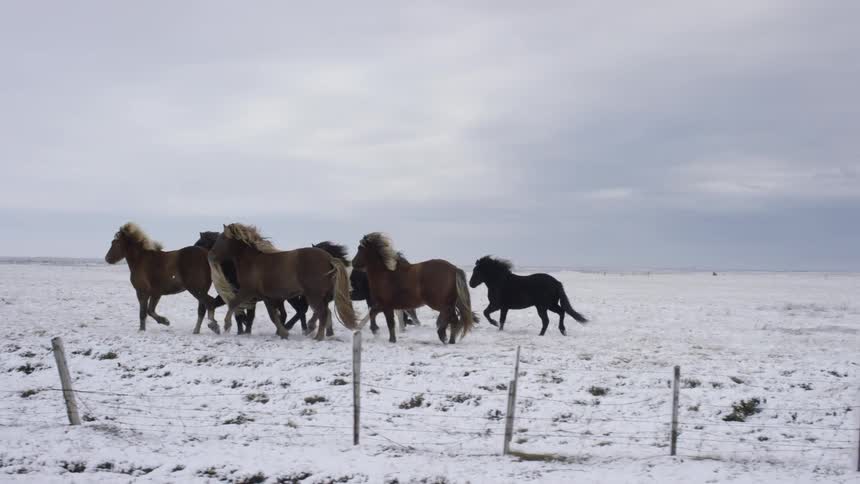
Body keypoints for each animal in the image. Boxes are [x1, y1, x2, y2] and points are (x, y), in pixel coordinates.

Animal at [208, 223, 357, 340]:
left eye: (222, 238)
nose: (210, 256)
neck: (252, 261)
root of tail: (329, 258)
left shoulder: (247, 291)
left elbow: (233, 303)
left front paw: (225, 325)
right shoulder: (266, 297)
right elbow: (273, 316)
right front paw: (283, 333)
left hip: (313, 294)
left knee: (322, 312)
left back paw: (318, 336)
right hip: (322, 295)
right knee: (324, 312)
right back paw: (320, 331)